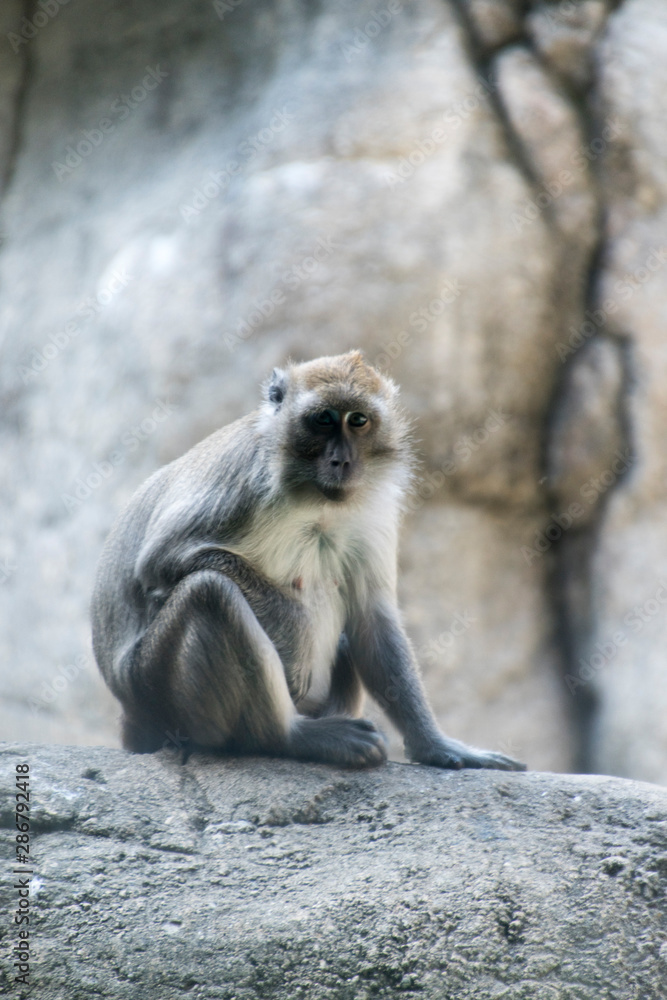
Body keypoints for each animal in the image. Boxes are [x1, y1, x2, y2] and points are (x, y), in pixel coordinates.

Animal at [91, 351, 526, 771]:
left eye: (358, 420)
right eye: (323, 419)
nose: (342, 460)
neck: (316, 499)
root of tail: (132, 711)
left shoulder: (373, 508)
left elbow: (372, 616)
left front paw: (433, 745)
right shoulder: (246, 477)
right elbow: (160, 562)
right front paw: (295, 628)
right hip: (154, 682)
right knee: (210, 592)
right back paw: (291, 737)